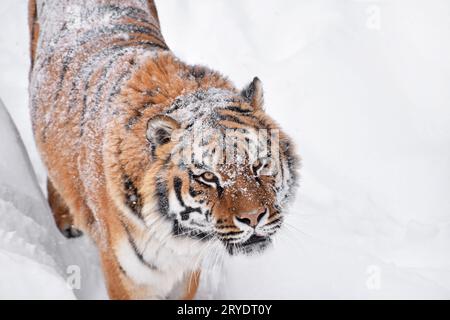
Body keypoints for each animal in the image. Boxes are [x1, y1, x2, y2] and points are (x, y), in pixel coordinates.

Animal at [29, 0, 300, 300]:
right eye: (207, 176)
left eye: (260, 164)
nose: (253, 218)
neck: (178, 239)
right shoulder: (127, 279)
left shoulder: (188, 273)